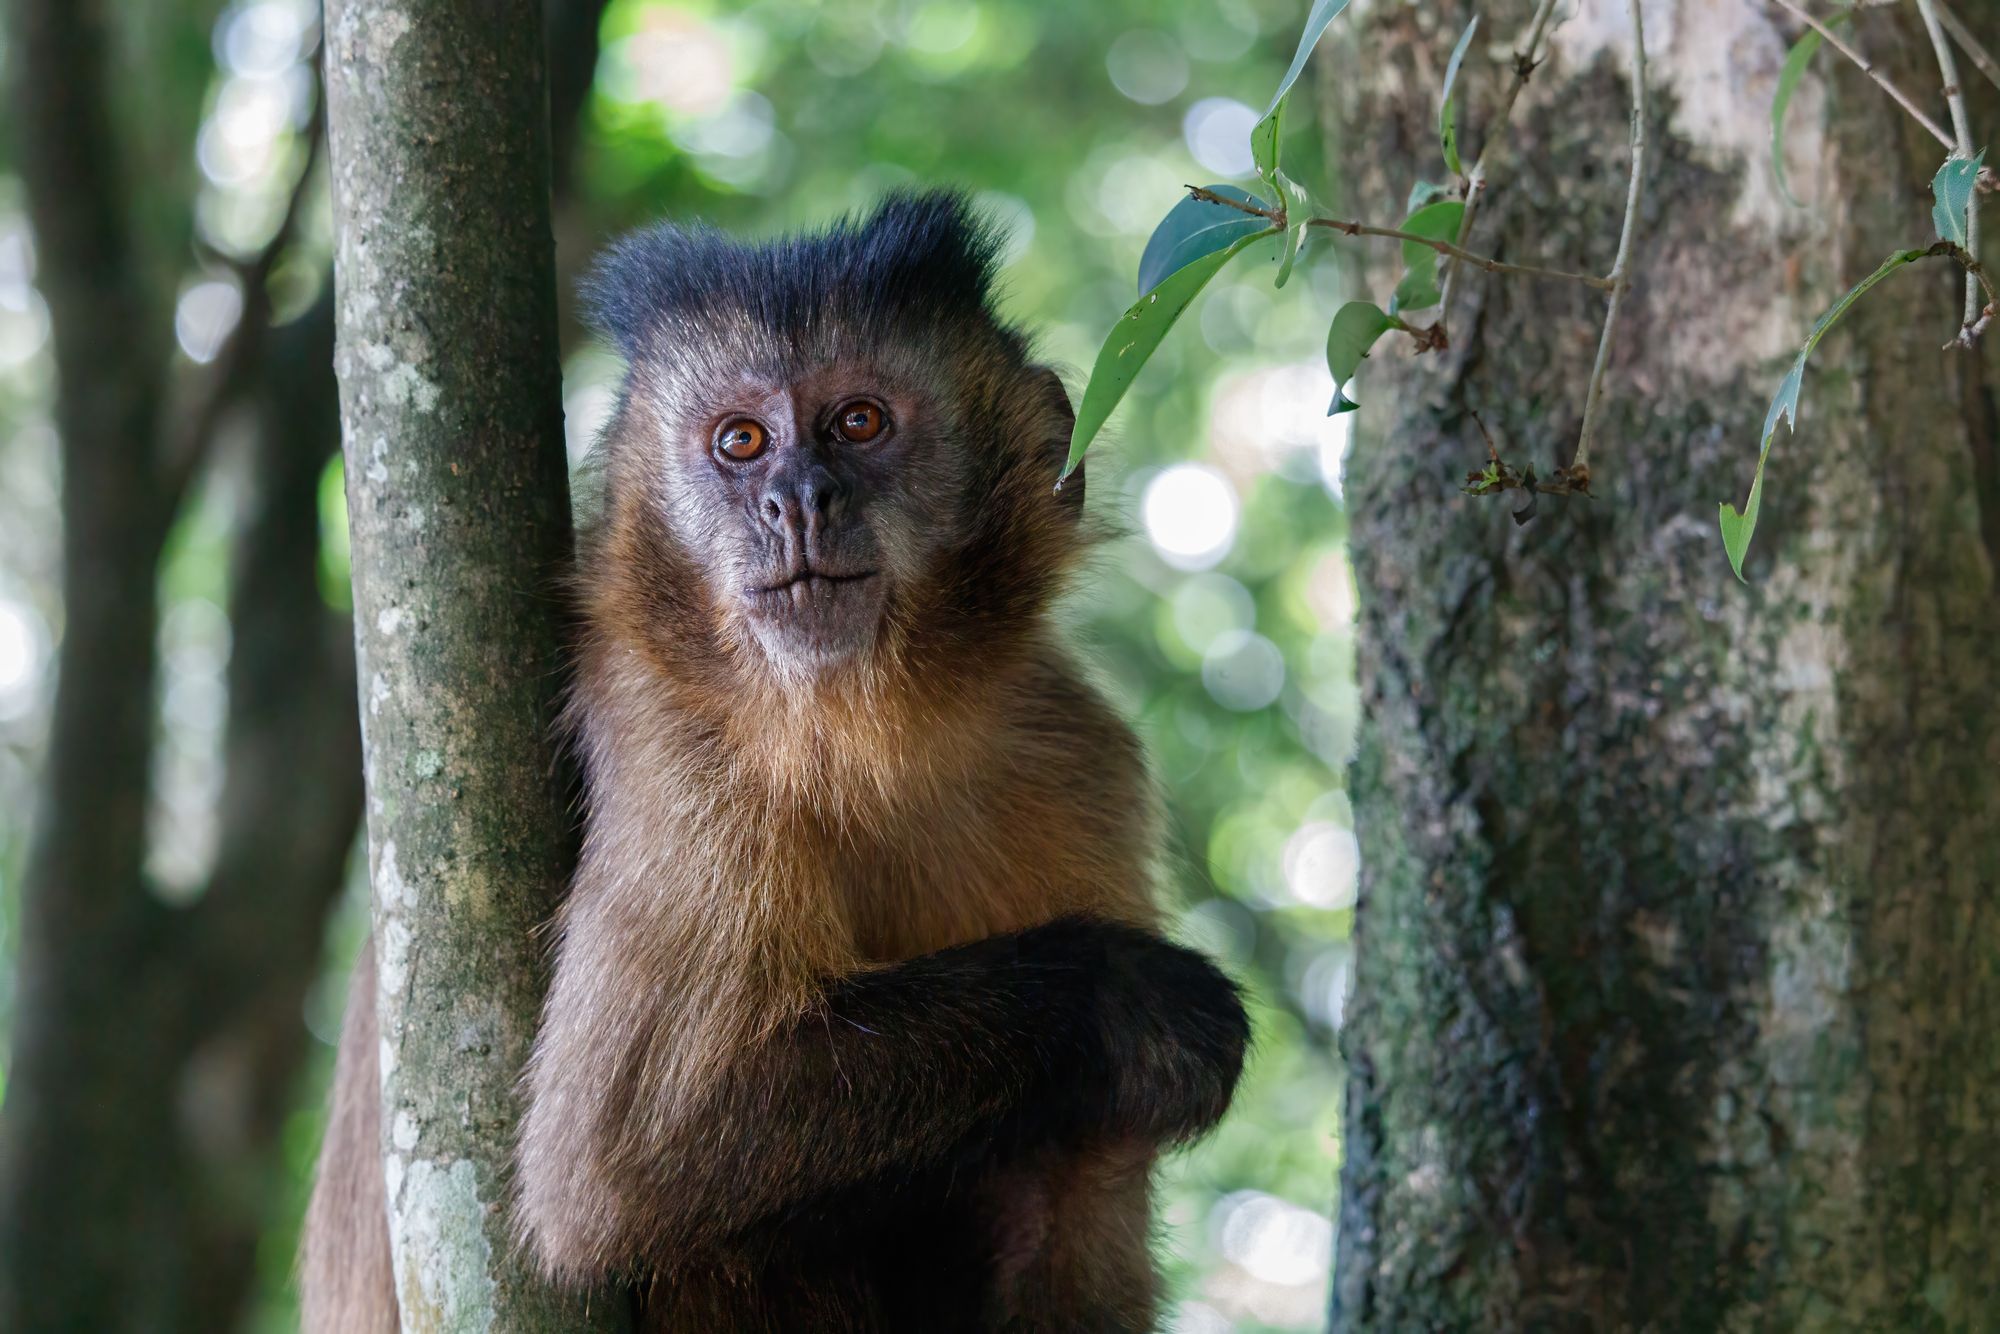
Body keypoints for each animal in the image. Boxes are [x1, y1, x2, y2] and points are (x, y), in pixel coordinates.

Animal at [301, 191, 1249, 1333]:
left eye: (858, 422)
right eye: (742, 441)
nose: (796, 498)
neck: (868, 733)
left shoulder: (1079, 755)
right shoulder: (668, 733)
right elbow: (613, 1170)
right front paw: (1130, 1003)